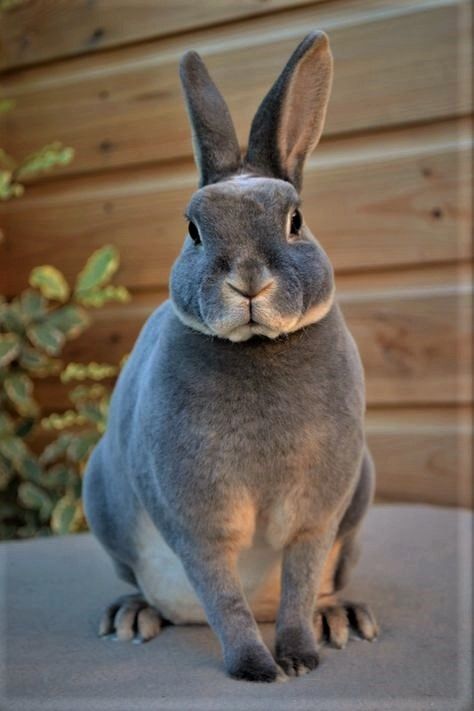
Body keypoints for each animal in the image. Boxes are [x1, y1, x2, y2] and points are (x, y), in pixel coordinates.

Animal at [83, 30, 380, 680]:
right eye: (193, 229)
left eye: (296, 221)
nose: (247, 281)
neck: (256, 349)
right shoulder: (197, 518)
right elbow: (222, 593)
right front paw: (255, 667)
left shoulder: (317, 514)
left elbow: (300, 579)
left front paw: (299, 657)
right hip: (103, 501)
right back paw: (132, 615)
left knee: (325, 584)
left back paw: (341, 618)